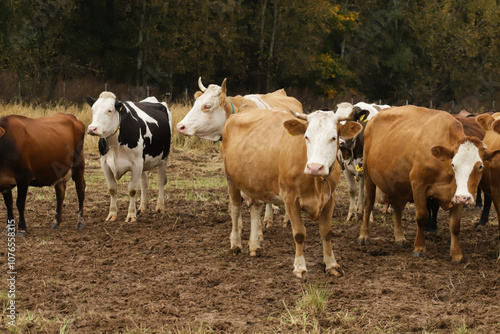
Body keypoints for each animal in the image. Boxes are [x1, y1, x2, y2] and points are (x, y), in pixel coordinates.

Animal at [86, 92, 172, 222]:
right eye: (92, 110)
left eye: (110, 110)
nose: (92, 129)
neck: (115, 145)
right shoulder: (105, 164)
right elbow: (112, 189)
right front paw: (112, 214)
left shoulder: (136, 164)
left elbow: (132, 190)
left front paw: (131, 215)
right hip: (144, 163)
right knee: (144, 183)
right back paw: (142, 207)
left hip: (164, 157)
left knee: (161, 181)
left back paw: (160, 208)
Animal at [221, 106, 362, 276]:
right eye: (306, 137)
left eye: (334, 138)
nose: (315, 167)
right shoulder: (290, 198)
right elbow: (299, 233)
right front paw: (300, 267)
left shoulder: (330, 197)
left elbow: (326, 232)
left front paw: (331, 264)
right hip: (231, 179)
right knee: (235, 209)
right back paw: (236, 244)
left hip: (255, 182)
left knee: (255, 208)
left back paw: (254, 246)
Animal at [358, 105, 500, 262]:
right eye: (453, 164)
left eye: (480, 166)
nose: (465, 198)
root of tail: (373, 119)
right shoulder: (418, 185)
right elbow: (422, 217)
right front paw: (419, 248)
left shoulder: (457, 194)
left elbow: (455, 225)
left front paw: (456, 254)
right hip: (368, 175)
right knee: (368, 203)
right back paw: (364, 235)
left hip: (399, 185)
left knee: (398, 208)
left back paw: (399, 237)